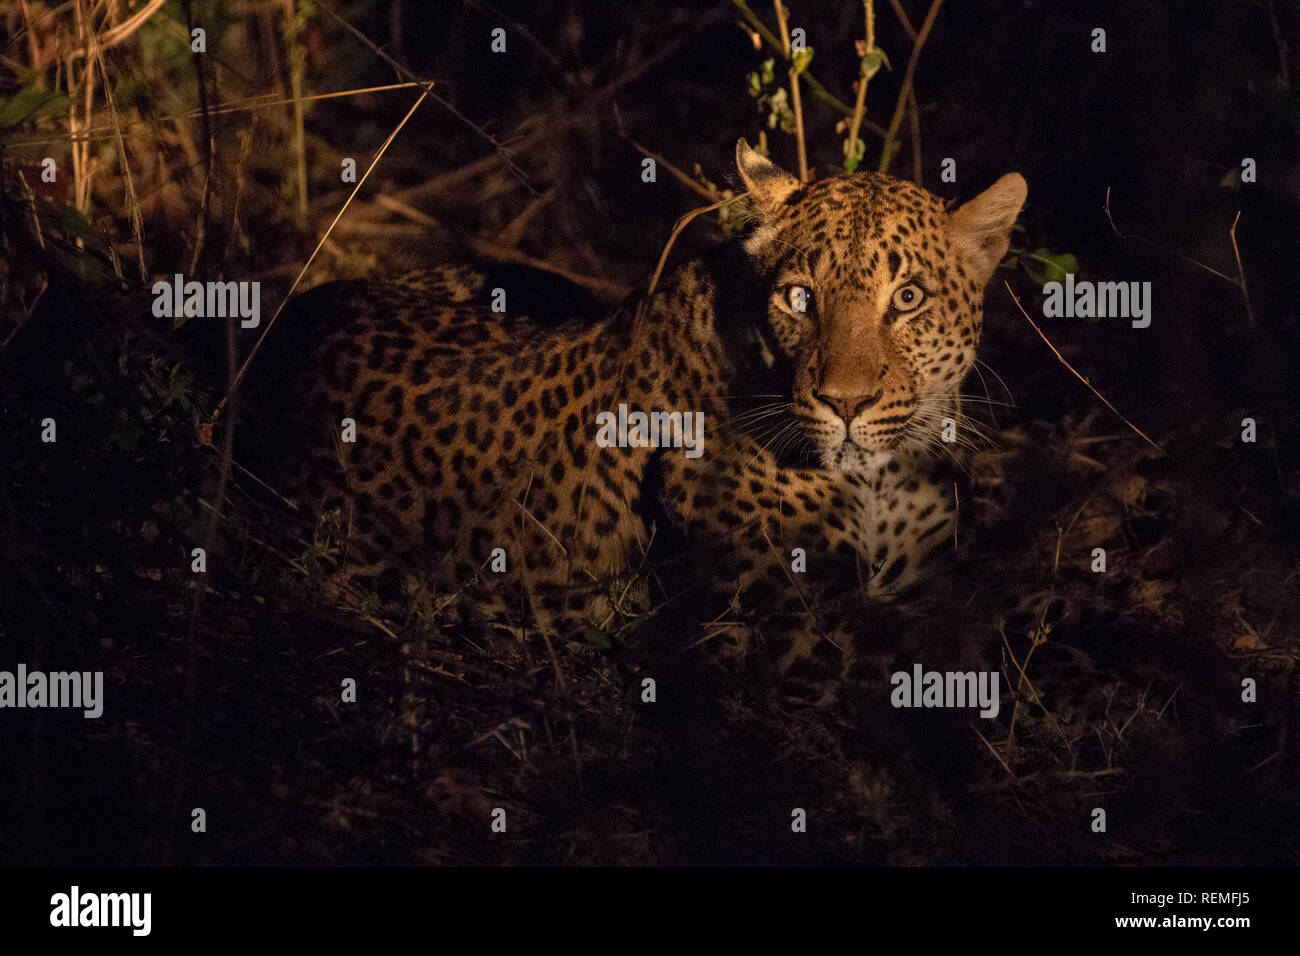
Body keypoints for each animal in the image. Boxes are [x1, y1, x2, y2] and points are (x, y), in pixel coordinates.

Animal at [250, 140, 1028, 700]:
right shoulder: (785, 622)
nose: (845, 402)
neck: (883, 478)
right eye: (800, 298)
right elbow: (944, 646)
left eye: (908, 298)